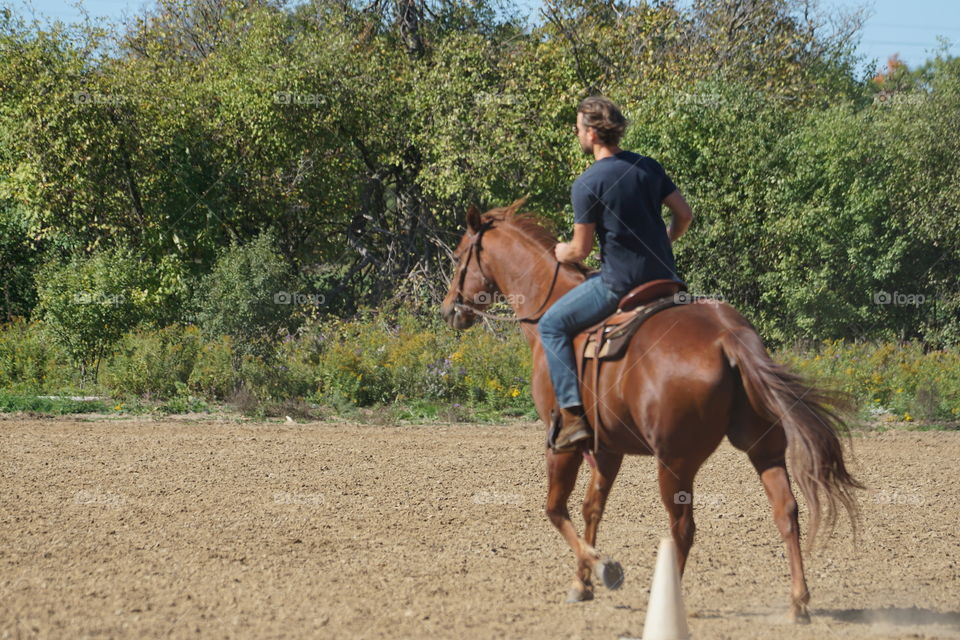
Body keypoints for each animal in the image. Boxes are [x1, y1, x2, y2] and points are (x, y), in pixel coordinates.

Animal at [439, 197, 862, 622]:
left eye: (458, 256)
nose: (448, 310)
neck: (551, 301)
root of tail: (728, 336)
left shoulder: (562, 442)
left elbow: (555, 509)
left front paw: (602, 568)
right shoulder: (607, 448)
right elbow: (591, 508)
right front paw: (582, 583)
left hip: (674, 461)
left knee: (683, 527)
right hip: (764, 448)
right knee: (786, 512)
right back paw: (798, 601)